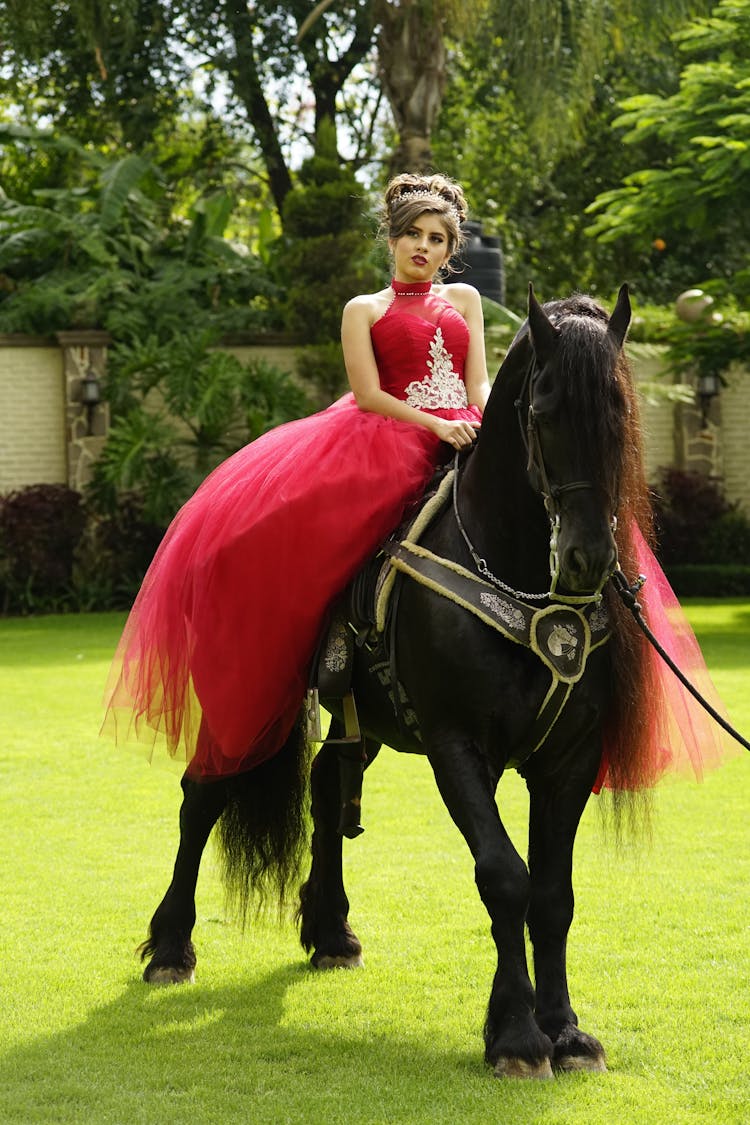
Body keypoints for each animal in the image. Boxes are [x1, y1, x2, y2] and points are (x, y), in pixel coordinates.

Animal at [139, 288, 656, 1080]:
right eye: (543, 411)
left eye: (621, 412)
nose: (587, 557)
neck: (519, 574)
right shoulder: (455, 744)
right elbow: (503, 875)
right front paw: (516, 1035)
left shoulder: (569, 757)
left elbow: (552, 894)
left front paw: (565, 1030)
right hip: (247, 690)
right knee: (204, 794)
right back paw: (171, 947)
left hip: (361, 718)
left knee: (325, 785)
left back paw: (331, 933)